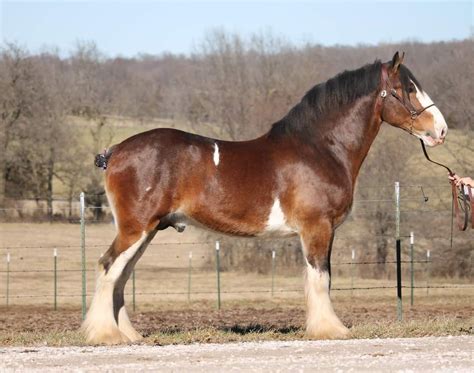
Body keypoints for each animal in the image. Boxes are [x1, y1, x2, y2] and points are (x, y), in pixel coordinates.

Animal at [84, 51, 448, 342]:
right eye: (408, 89)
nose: (441, 130)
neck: (320, 149)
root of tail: (116, 151)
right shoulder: (317, 228)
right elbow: (321, 278)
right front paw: (331, 329)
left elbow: (319, 278)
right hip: (136, 228)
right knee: (108, 267)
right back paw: (106, 334)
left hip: (146, 231)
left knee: (120, 276)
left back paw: (128, 334)